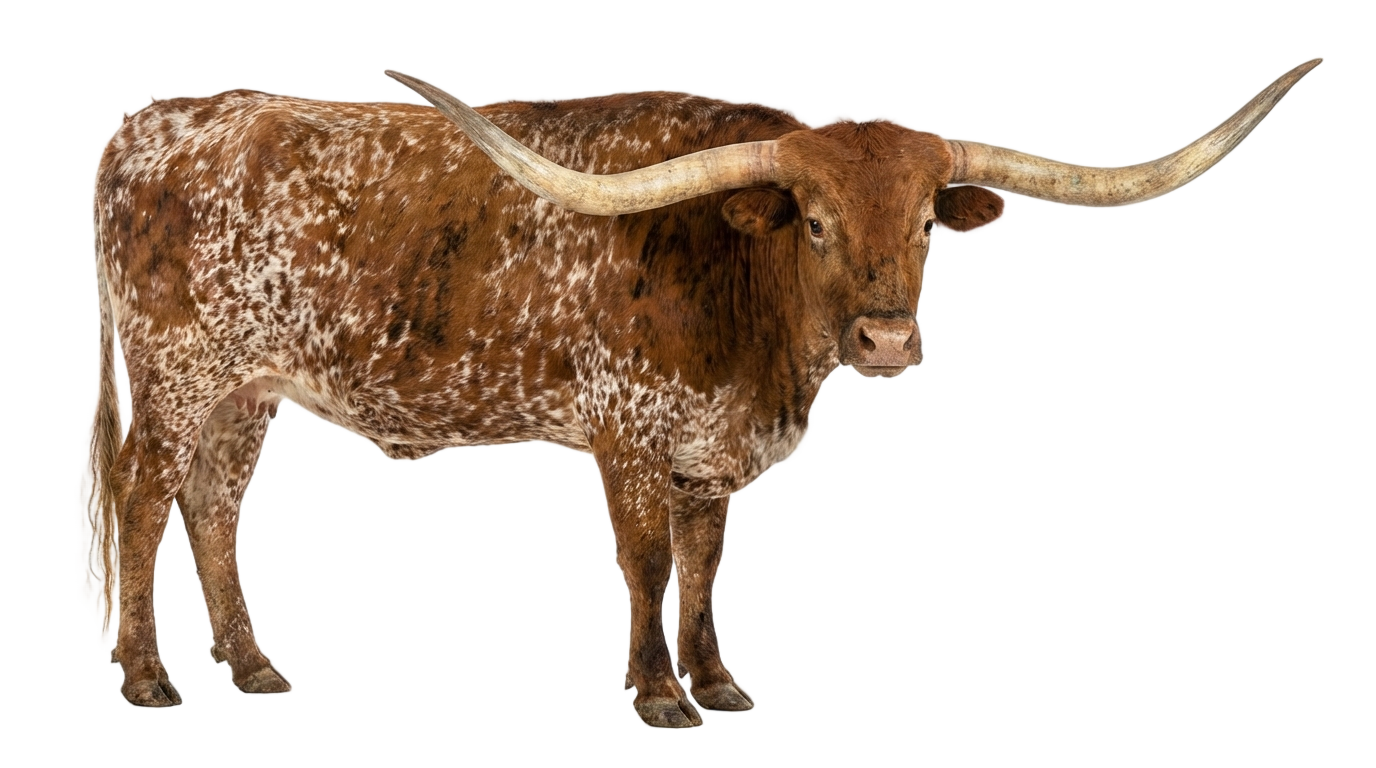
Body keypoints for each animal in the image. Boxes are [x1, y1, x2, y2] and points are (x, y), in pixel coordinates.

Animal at [88, 59, 1318, 726]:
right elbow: (645, 562)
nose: (884, 335)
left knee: (209, 505)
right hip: (173, 372)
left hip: (243, 388)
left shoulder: (709, 450)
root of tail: (151, 125)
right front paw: (656, 697)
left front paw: (719, 685)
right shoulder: (626, 434)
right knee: (138, 501)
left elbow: (703, 561)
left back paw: (253, 670)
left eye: (925, 218)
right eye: (812, 221)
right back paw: (147, 681)